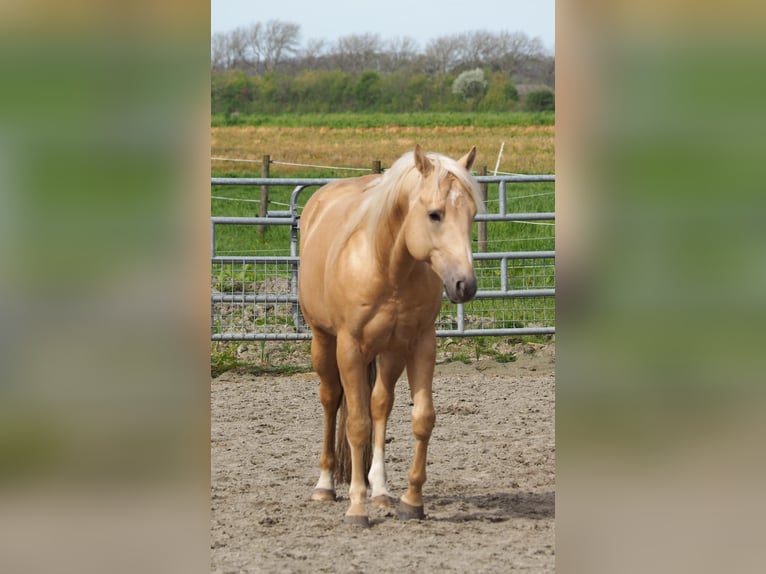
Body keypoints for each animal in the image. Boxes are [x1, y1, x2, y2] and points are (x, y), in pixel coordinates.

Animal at [296, 146, 484, 528]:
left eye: (472, 214)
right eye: (434, 214)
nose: (465, 285)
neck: (387, 265)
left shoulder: (420, 344)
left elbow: (422, 418)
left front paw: (411, 501)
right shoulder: (349, 348)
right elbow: (356, 424)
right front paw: (357, 508)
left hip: (390, 353)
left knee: (379, 404)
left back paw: (380, 492)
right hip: (323, 341)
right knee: (330, 400)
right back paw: (325, 486)